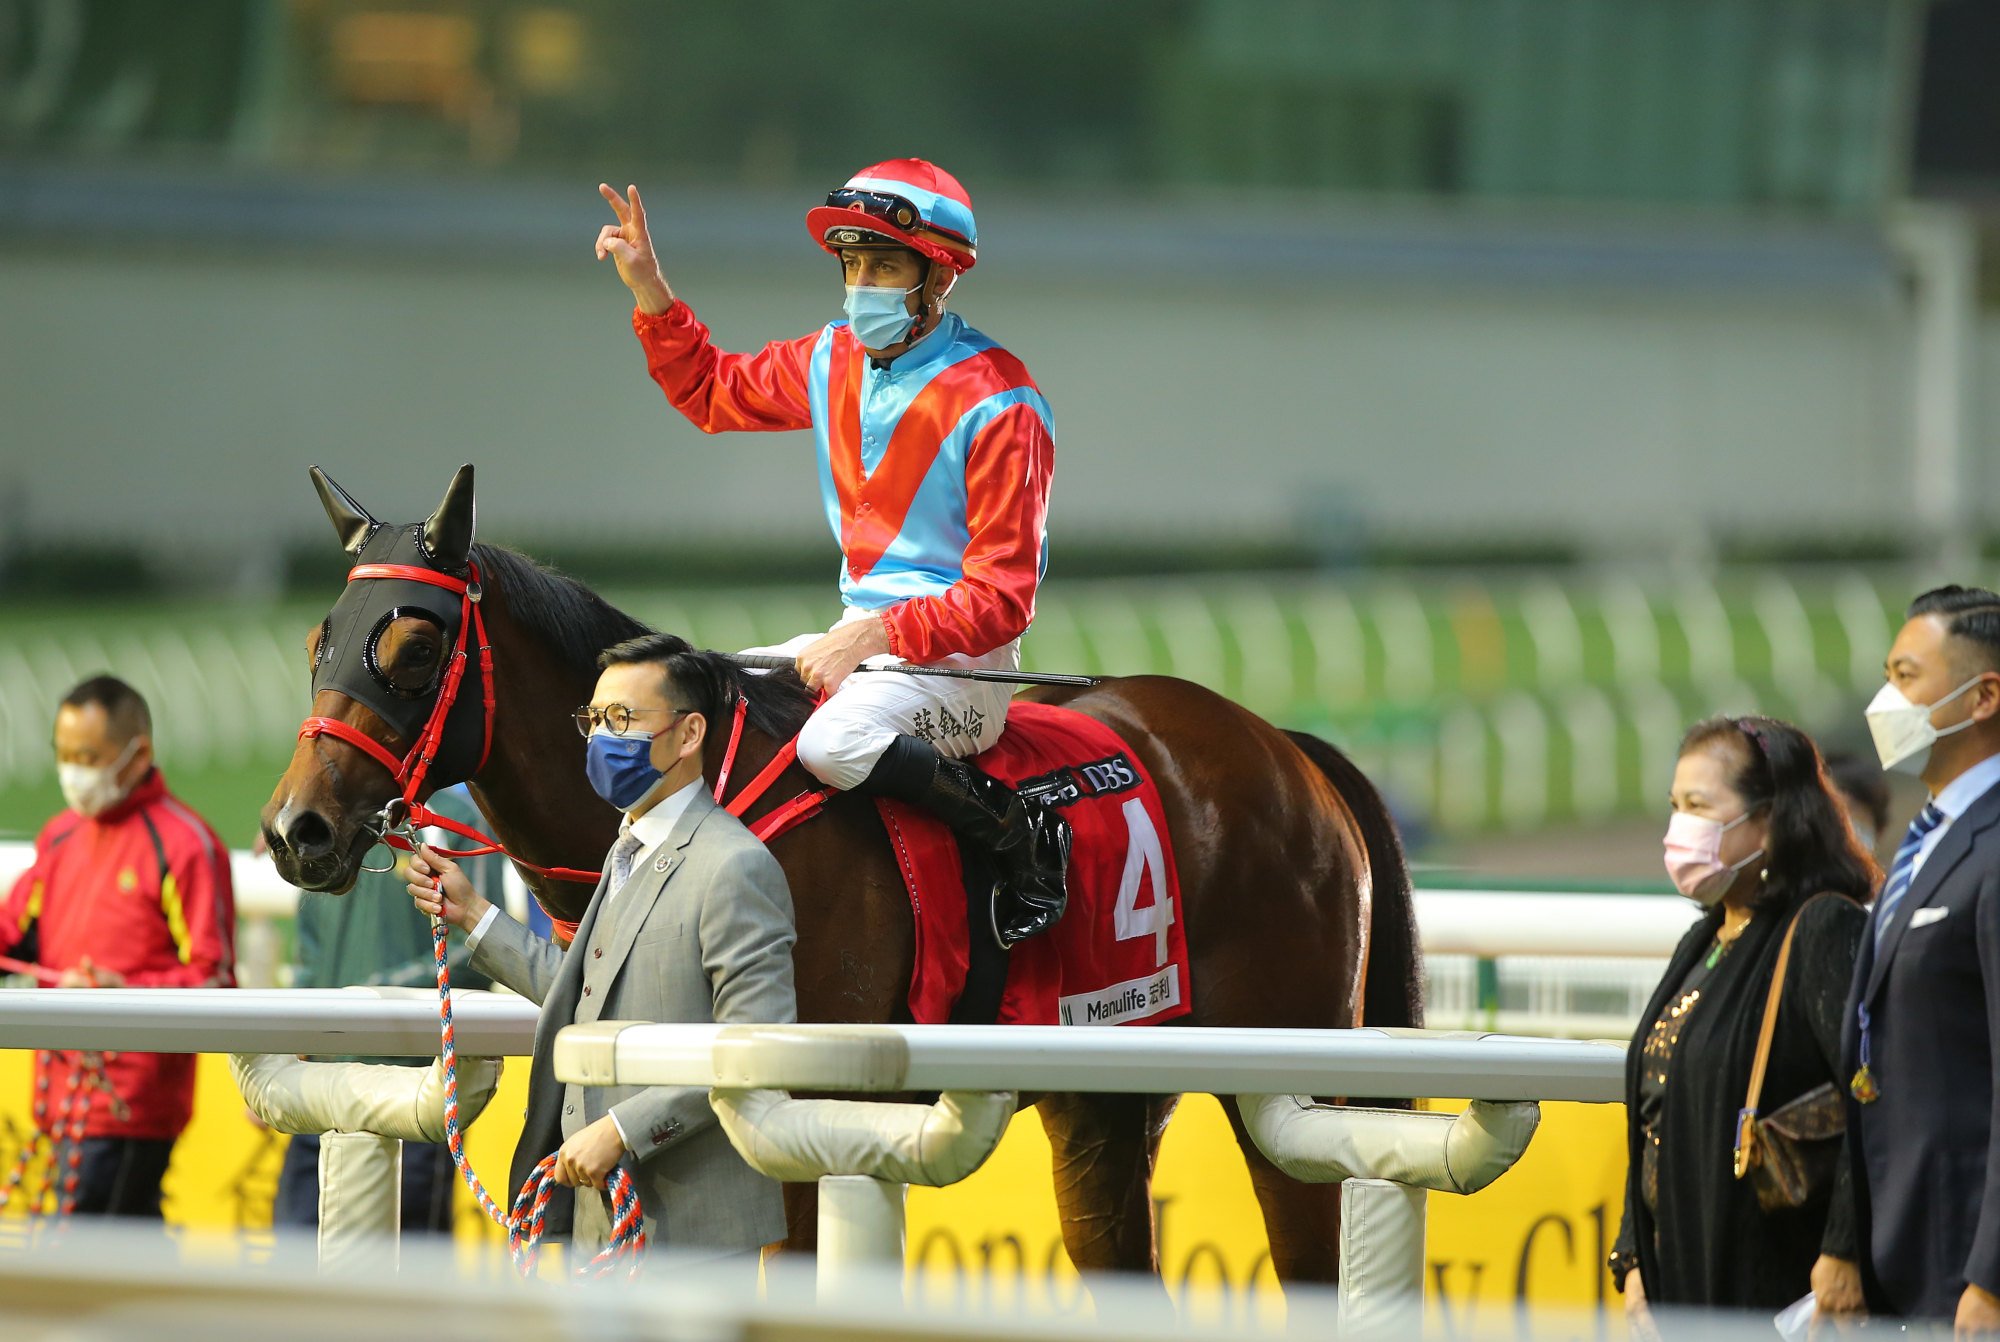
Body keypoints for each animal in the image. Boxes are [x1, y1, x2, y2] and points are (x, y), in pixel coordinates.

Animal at [262, 468, 1424, 1288]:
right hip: (1102, 1097)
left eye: (414, 648)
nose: (293, 829)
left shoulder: (794, 1121)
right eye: (321, 640)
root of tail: (1282, 745)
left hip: (1295, 1082)